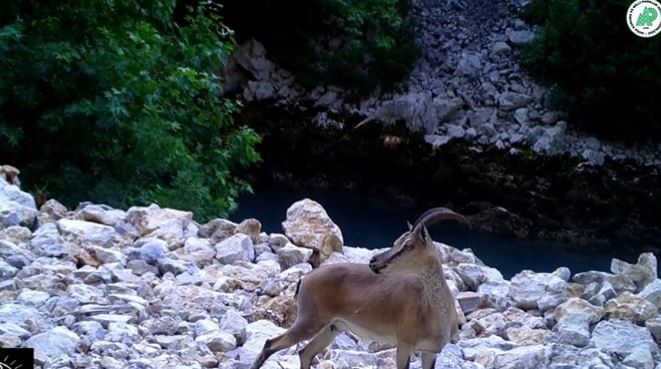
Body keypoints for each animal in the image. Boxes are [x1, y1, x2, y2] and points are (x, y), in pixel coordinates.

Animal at [249, 207, 470, 368]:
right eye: (398, 241)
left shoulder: (429, 352)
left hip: (331, 328)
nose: (374, 260)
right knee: (270, 345)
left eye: (408, 244)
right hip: (309, 322)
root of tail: (305, 278)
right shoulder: (404, 346)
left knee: (305, 353)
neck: (434, 314)